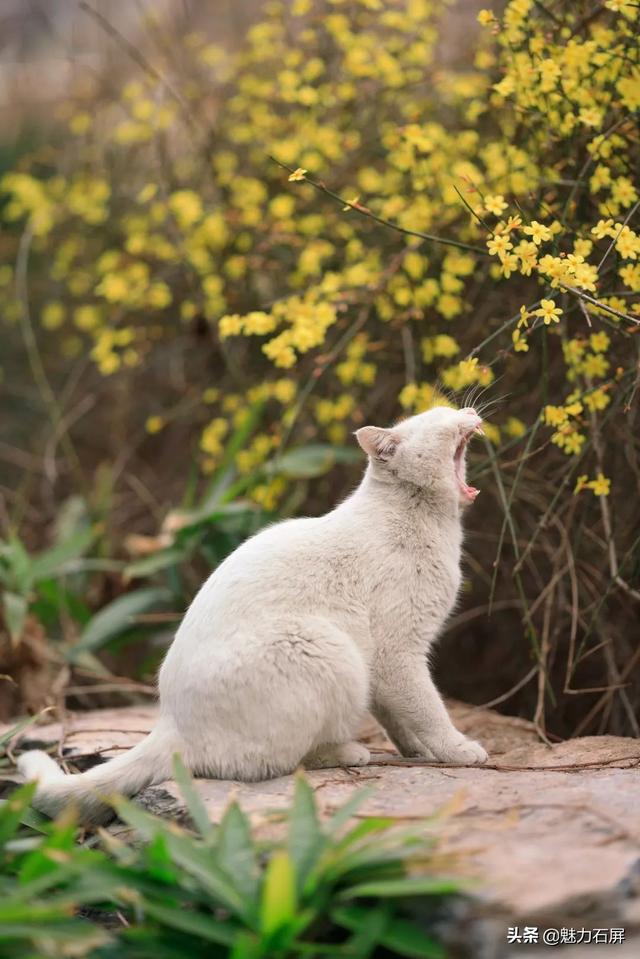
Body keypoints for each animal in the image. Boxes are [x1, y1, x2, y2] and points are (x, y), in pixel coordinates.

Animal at [21, 404, 490, 816]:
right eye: (440, 418)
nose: (470, 412)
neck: (428, 524)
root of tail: (170, 724)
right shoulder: (398, 654)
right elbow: (428, 709)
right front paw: (459, 750)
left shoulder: (383, 669)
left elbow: (398, 719)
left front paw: (416, 750)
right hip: (325, 648)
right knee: (278, 761)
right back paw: (349, 751)